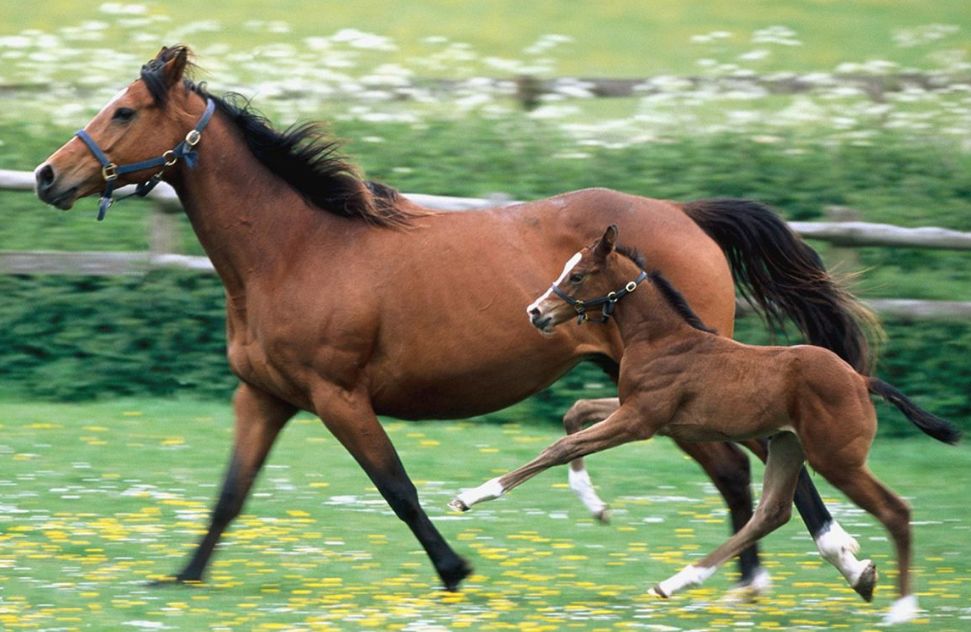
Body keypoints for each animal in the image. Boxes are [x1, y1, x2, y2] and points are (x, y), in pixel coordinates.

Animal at [34, 45, 876, 592]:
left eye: (124, 111)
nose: (47, 176)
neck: (296, 249)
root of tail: (684, 214)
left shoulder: (339, 396)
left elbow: (397, 488)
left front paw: (454, 568)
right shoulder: (264, 396)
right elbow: (230, 495)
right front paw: (180, 578)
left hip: (687, 380)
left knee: (761, 466)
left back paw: (829, 563)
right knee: (738, 469)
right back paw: (753, 579)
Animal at [452, 225, 960, 624]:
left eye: (576, 275)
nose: (535, 312)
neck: (662, 338)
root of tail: (859, 378)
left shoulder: (639, 420)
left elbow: (560, 448)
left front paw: (471, 496)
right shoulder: (641, 412)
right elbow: (575, 415)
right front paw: (593, 502)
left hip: (836, 459)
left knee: (895, 511)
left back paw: (902, 609)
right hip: (787, 446)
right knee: (771, 513)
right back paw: (677, 582)